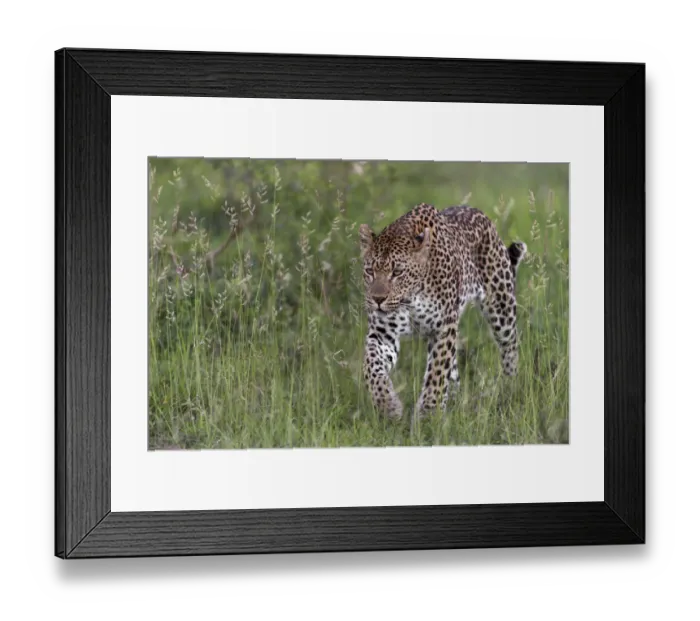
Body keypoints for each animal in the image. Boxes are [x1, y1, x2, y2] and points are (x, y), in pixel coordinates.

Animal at [359, 202, 527, 422]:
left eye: (397, 272)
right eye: (369, 271)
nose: (378, 299)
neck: (410, 298)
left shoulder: (443, 328)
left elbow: (437, 374)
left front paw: (427, 414)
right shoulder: (382, 334)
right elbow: (371, 367)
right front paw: (388, 405)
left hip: (501, 306)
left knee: (510, 348)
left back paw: (510, 386)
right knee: (453, 369)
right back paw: (454, 401)